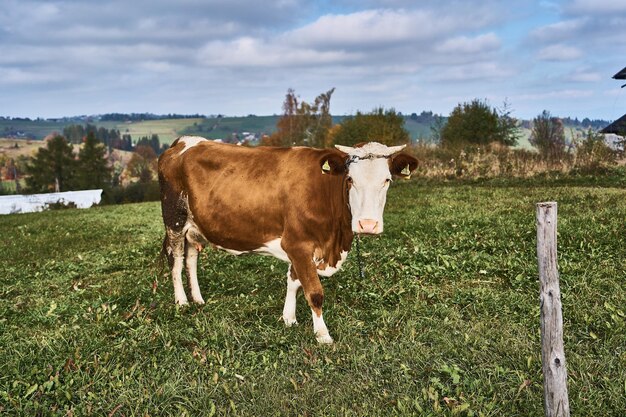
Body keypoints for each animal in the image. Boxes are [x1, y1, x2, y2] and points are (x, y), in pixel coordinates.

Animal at [158, 136, 416, 342]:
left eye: (387, 180)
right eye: (350, 179)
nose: (368, 225)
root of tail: (183, 142)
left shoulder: (299, 247)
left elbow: (293, 281)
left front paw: (289, 318)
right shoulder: (297, 244)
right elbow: (314, 292)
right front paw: (323, 335)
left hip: (194, 227)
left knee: (191, 259)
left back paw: (198, 299)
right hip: (174, 221)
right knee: (176, 261)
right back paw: (182, 302)